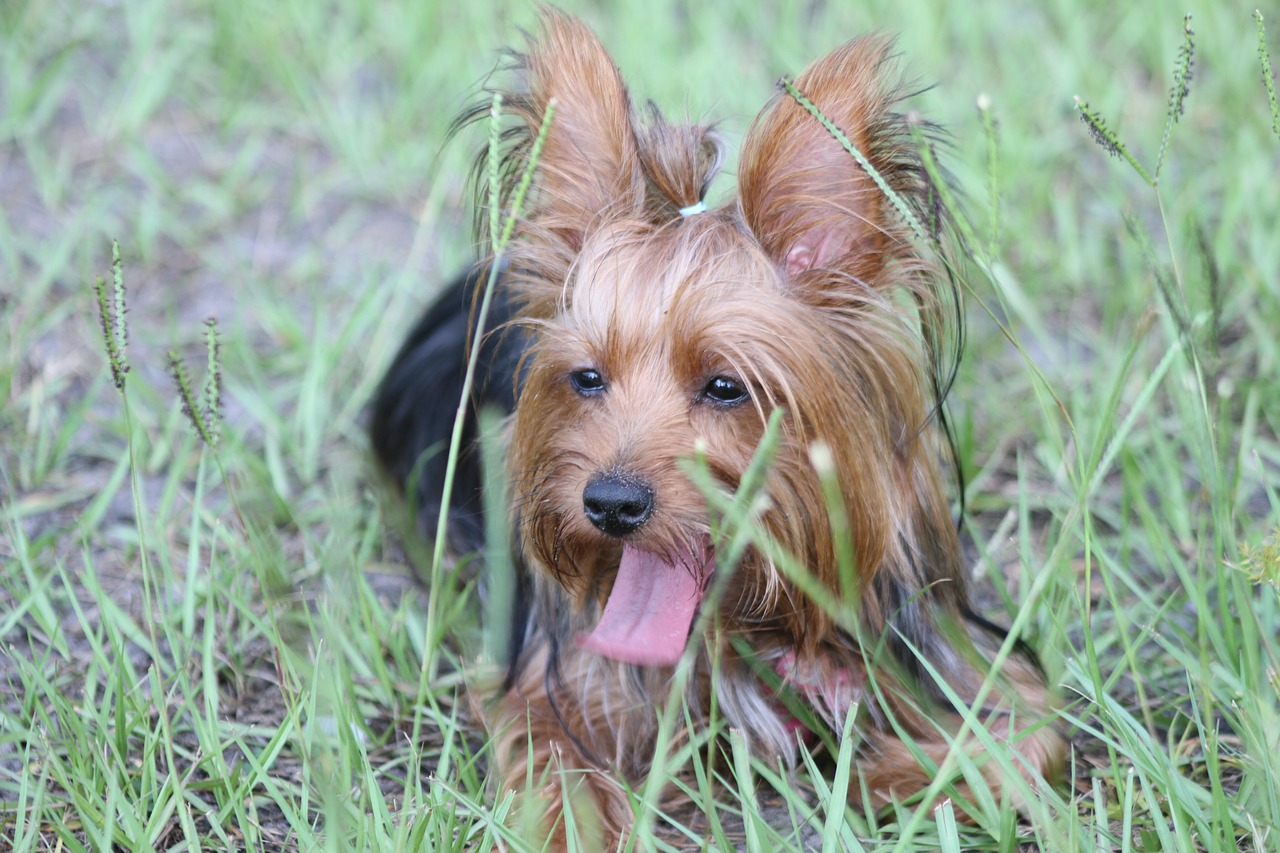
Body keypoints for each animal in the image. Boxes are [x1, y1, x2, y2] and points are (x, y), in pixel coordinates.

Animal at [368, 8, 1059, 845]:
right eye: (587, 378)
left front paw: (895, 772)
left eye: (726, 387)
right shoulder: (553, 672)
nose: (610, 503)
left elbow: (1030, 735)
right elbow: (550, 756)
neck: (734, 619)